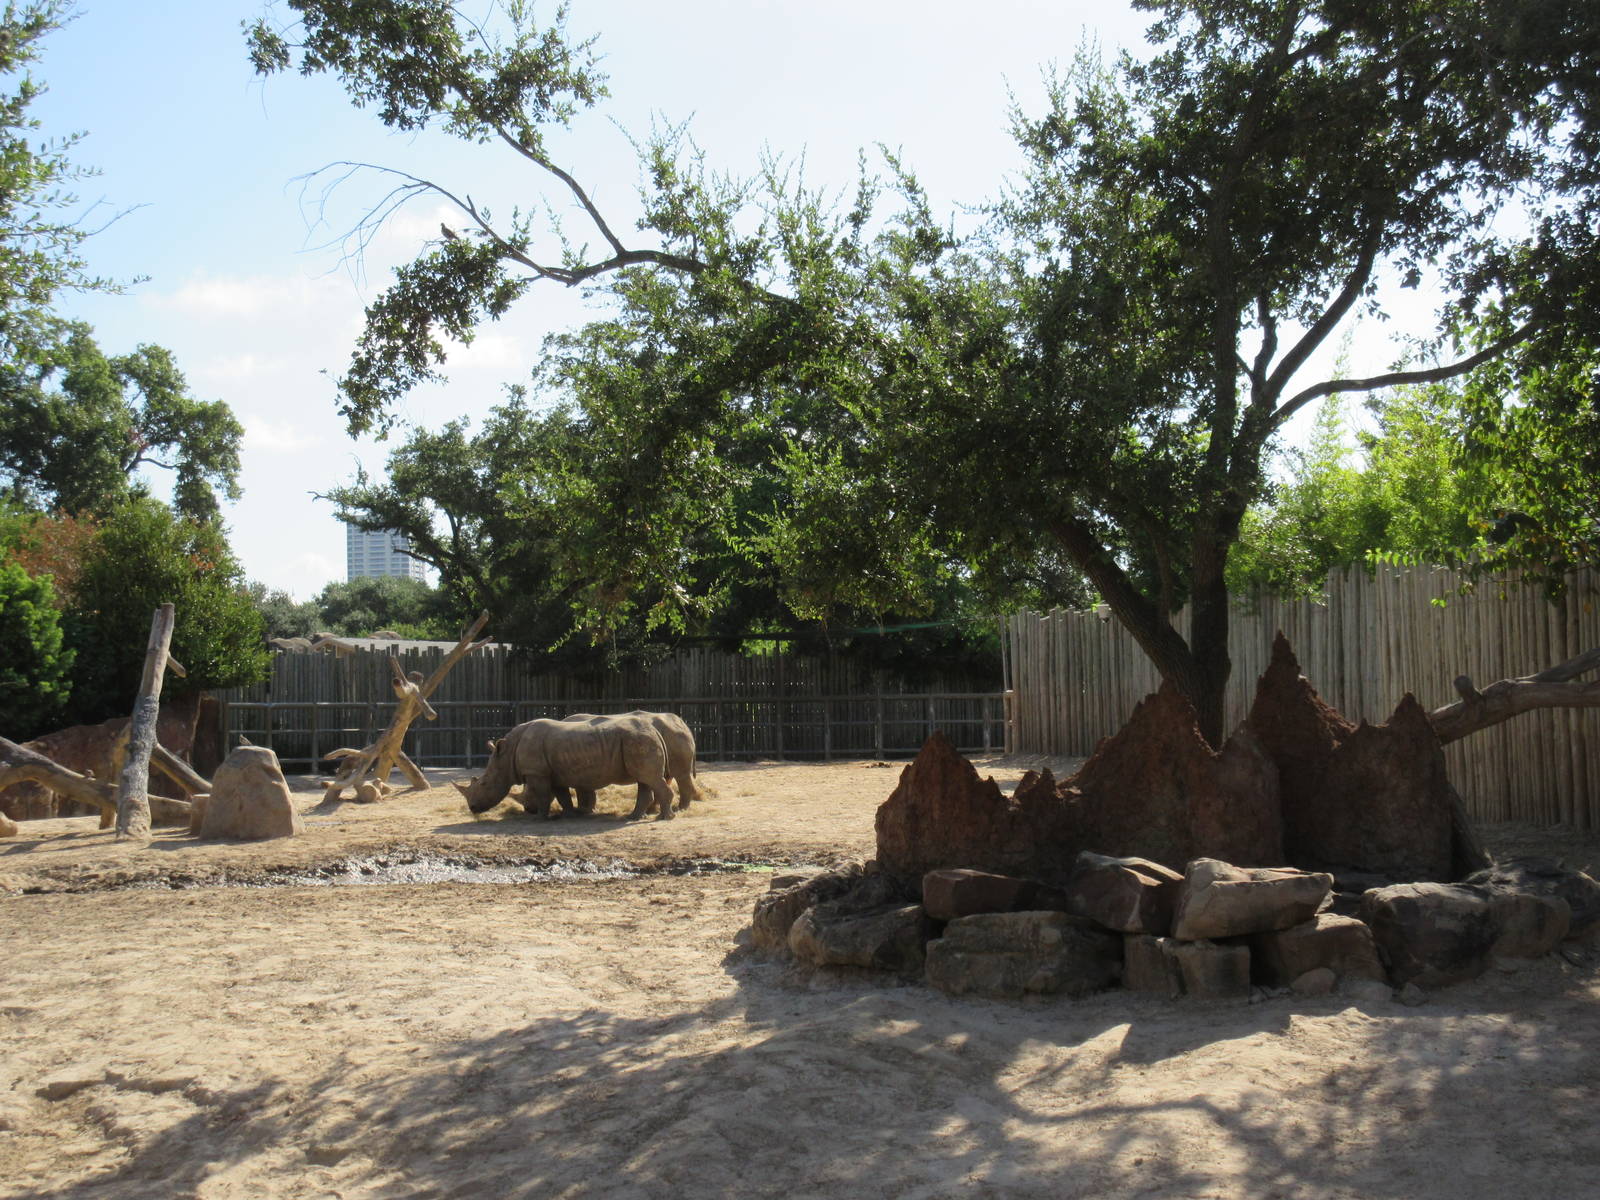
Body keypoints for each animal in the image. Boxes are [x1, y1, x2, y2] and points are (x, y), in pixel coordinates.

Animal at [455, 715, 672, 821]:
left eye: (484, 783)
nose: (472, 808)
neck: (507, 755)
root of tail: (654, 729)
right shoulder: (555, 774)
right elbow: (562, 796)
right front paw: (568, 815)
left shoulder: (537, 773)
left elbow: (543, 795)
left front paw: (540, 819)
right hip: (638, 740)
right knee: (644, 779)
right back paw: (634, 817)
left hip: (638, 740)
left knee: (649, 778)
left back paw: (663, 817)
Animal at [560, 711, 702, 814]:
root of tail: (685, 725)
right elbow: (585, 787)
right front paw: (587, 810)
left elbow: (582, 788)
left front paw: (584, 810)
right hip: (671, 738)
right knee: (663, 777)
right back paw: (653, 810)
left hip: (675, 737)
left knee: (680, 775)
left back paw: (680, 809)